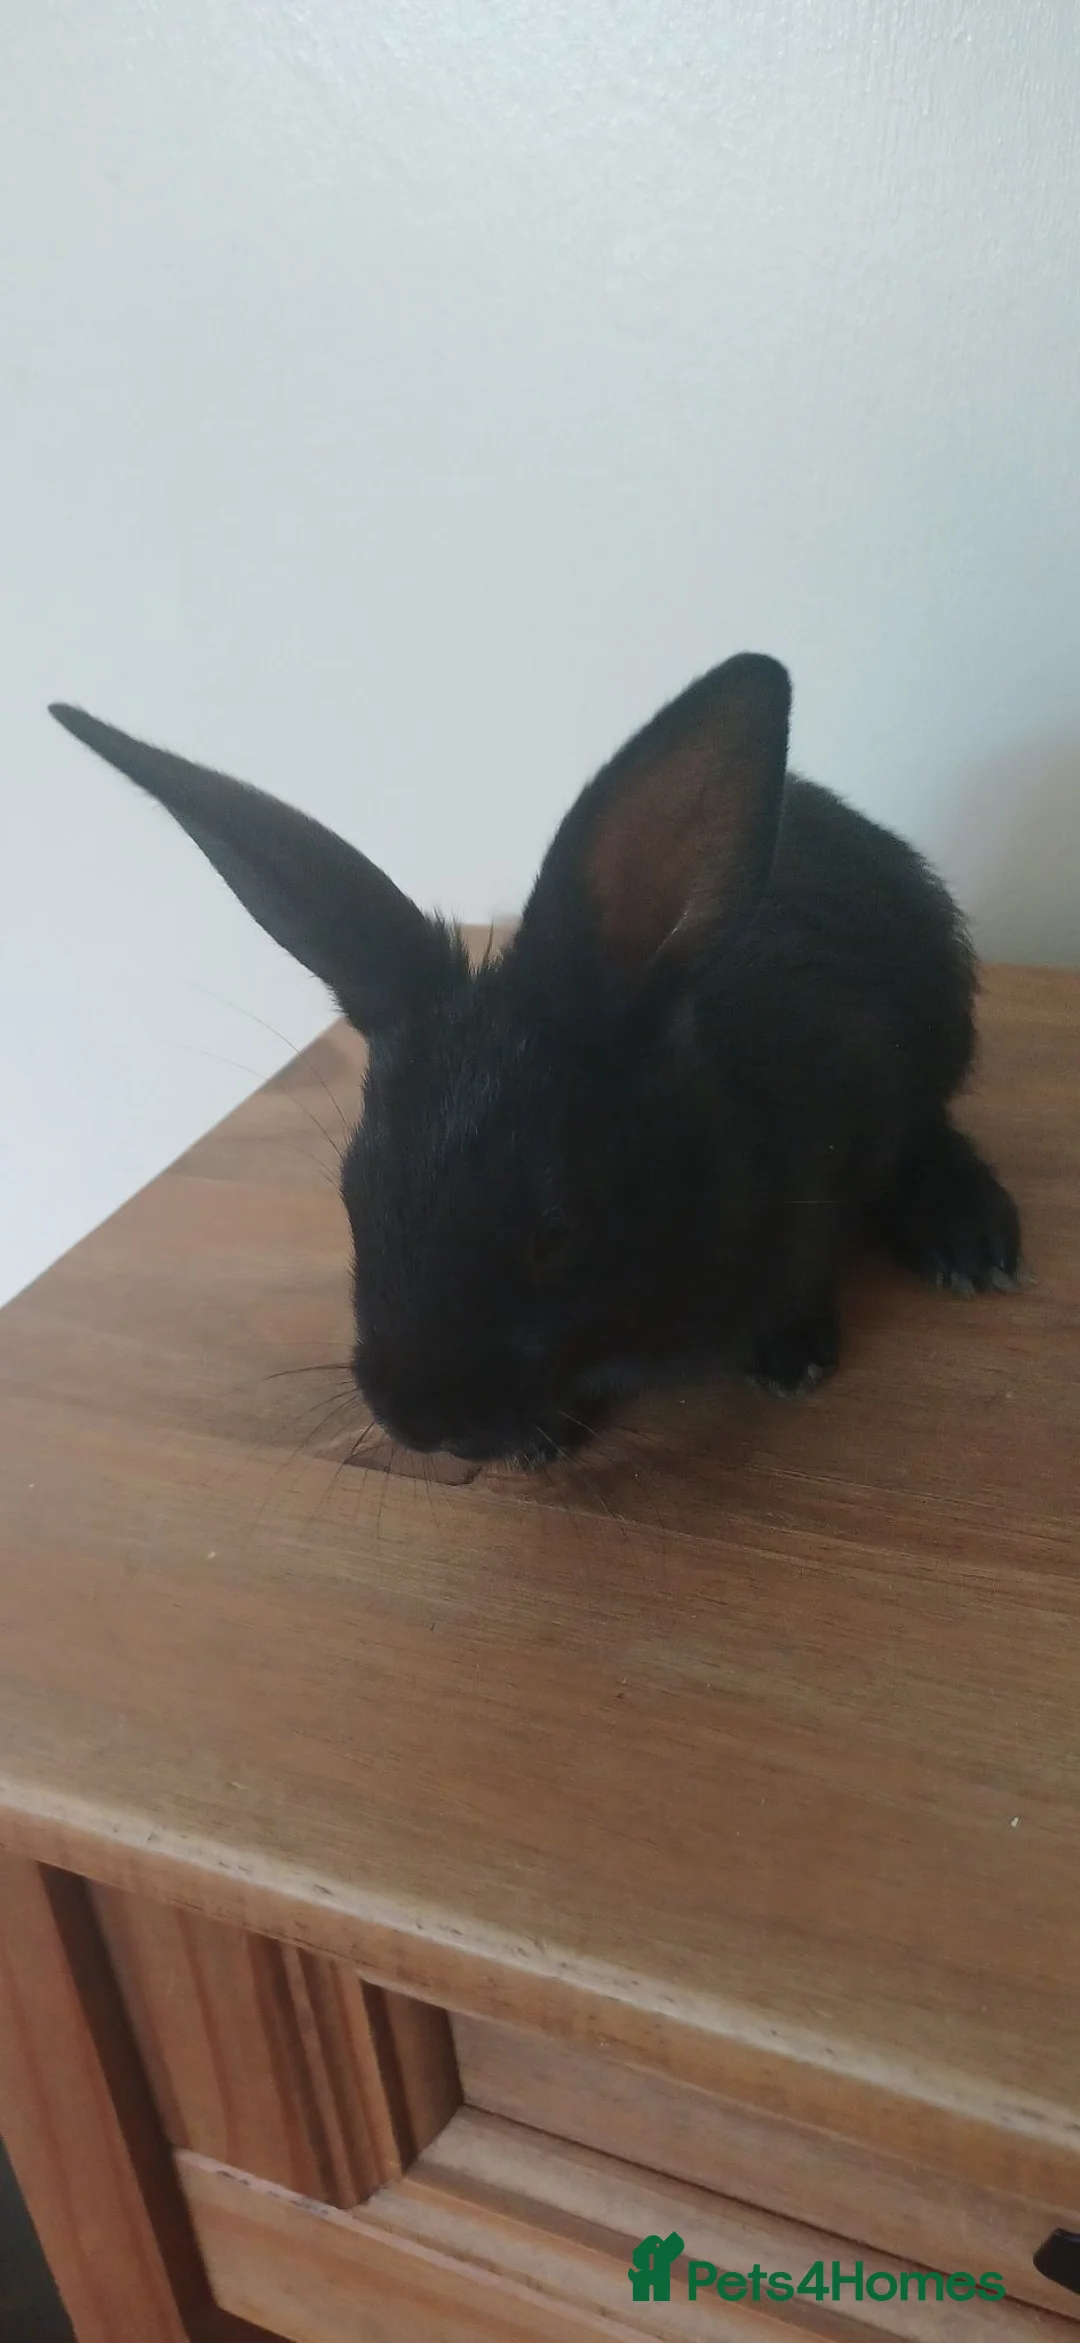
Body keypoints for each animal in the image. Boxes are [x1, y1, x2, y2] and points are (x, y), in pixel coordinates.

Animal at [50, 653, 1021, 1465]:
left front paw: (792, 1353)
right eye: (354, 1198)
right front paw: (544, 1439)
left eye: (555, 1232)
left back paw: (972, 1240)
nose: (416, 1421)